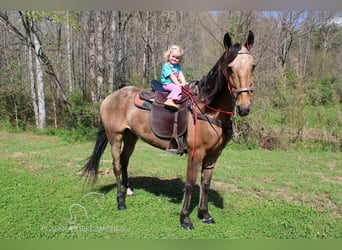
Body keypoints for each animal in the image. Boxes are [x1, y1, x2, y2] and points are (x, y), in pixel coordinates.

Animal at [81, 30, 255, 229]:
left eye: (253, 66)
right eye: (230, 68)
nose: (244, 107)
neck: (208, 108)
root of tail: (110, 97)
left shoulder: (213, 155)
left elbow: (206, 183)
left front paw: (205, 214)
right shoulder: (196, 153)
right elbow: (190, 184)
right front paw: (185, 218)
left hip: (131, 136)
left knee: (124, 162)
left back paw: (129, 191)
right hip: (115, 137)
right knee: (117, 166)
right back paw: (121, 201)